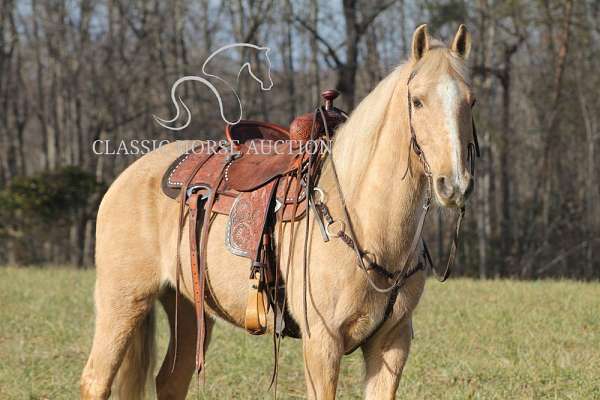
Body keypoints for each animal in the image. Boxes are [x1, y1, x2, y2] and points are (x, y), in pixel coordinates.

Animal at [78, 23, 474, 398]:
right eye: (417, 101)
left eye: (471, 101)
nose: (453, 184)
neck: (364, 223)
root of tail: (127, 176)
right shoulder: (322, 344)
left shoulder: (392, 343)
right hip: (122, 302)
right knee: (96, 379)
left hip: (187, 308)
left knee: (171, 382)